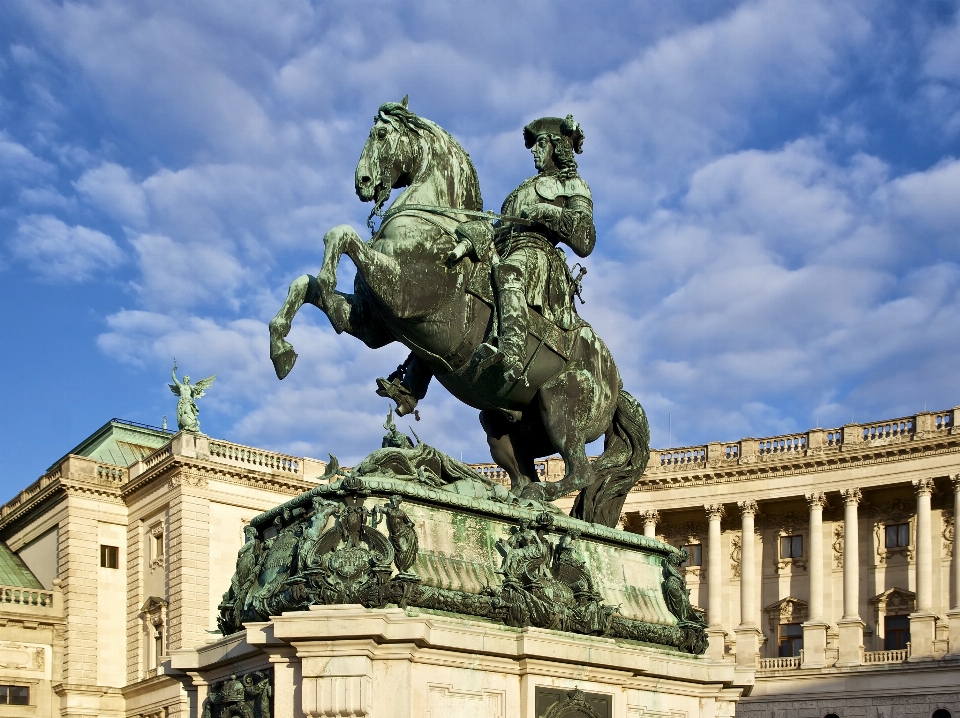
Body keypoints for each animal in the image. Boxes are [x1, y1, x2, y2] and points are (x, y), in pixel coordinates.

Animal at [266, 100, 648, 528]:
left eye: (380, 133)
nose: (363, 182)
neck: (435, 224)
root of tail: (616, 384)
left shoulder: (402, 294)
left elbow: (340, 235)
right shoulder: (373, 324)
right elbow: (305, 284)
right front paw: (281, 348)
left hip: (560, 407)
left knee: (580, 470)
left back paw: (540, 497)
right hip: (503, 423)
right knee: (523, 475)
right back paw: (508, 497)